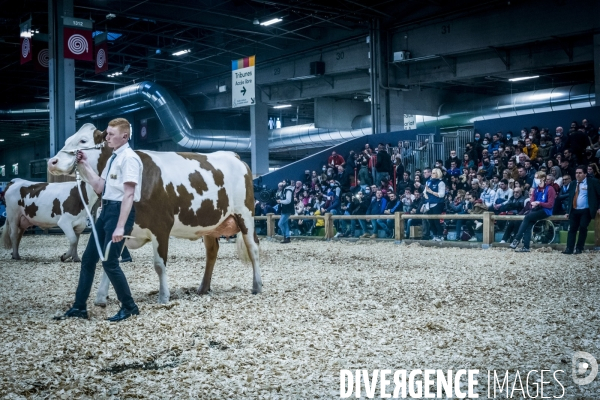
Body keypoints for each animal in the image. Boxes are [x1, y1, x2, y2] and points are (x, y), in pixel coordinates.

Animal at [47, 123, 260, 304]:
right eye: (68, 139)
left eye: (83, 141)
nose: (52, 162)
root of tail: (233, 156)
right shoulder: (122, 228)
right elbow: (110, 261)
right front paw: (101, 297)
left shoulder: (161, 226)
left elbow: (159, 264)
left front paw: (164, 296)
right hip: (209, 223)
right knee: (212, 251)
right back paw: (203, 288)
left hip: (245, 215)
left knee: (253, 247)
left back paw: (257, 286)